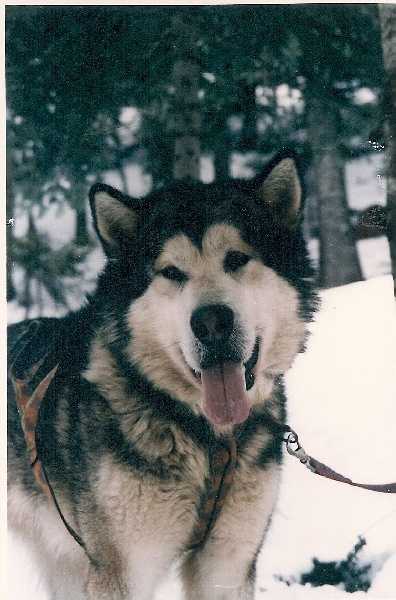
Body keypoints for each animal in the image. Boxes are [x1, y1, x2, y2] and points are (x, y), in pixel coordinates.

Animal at [7, 149, 318, 596]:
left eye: (237, 259)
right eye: (171, 272)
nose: (211, 322)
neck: (208, 439)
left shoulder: (228, 563)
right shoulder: (121, 570)